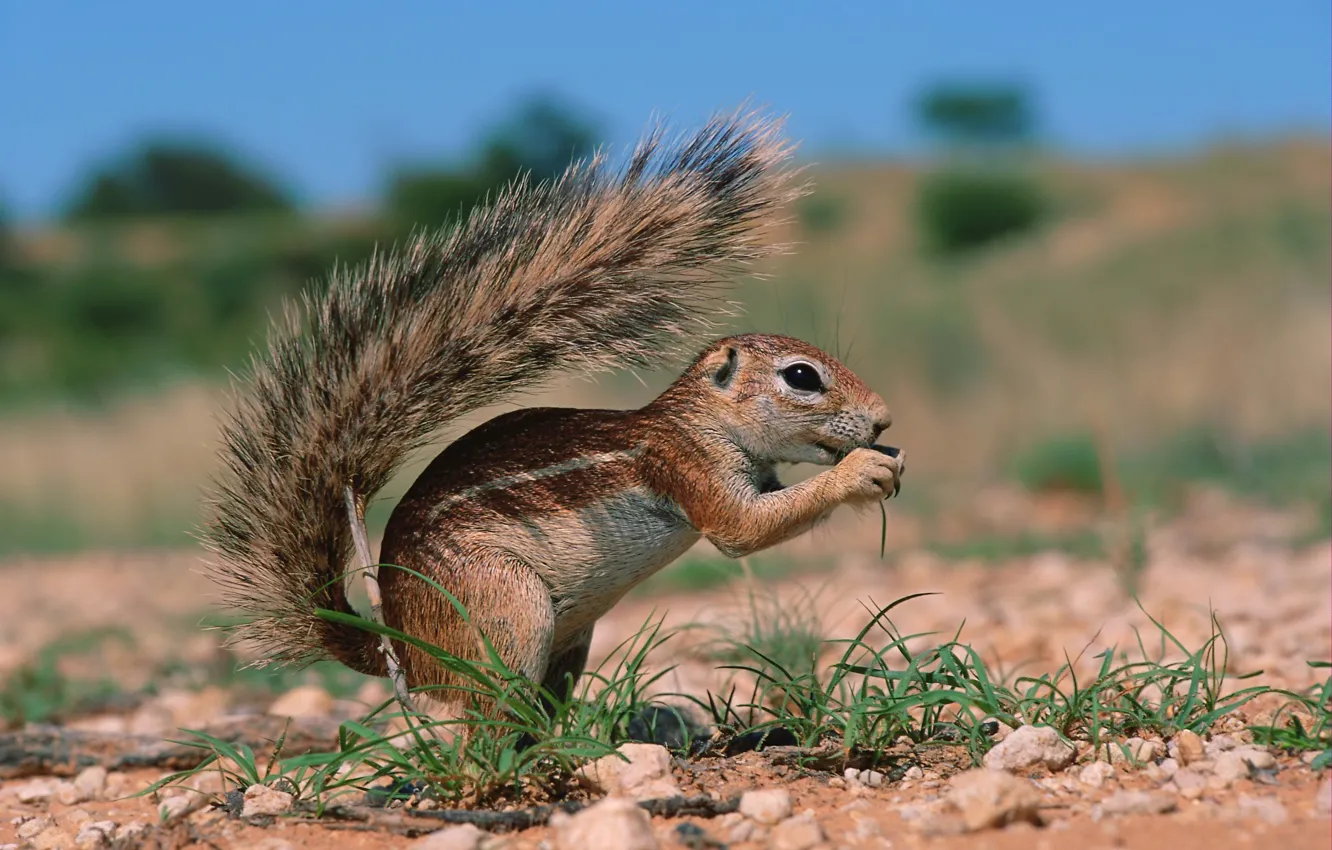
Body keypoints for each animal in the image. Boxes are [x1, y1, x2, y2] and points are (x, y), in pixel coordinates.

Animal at [204, 107, 905, 724]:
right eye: (801, 377)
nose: (883, 422)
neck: (698, 422)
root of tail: (402, 646)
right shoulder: (684, 465)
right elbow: (743, 530)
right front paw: (862, 473)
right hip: (504, 607)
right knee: (486, 722)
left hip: (569, 641)